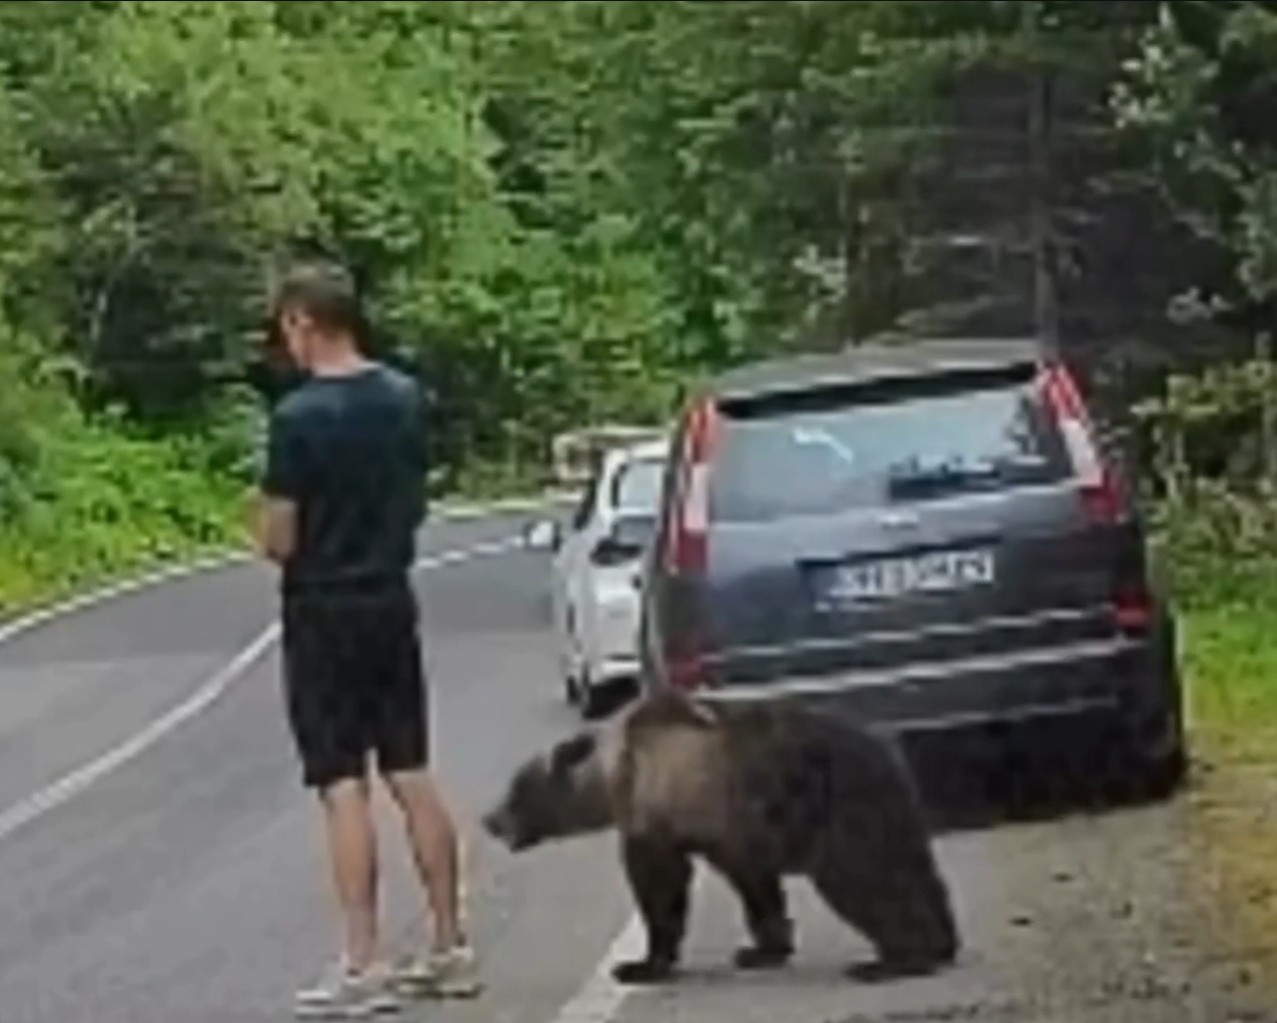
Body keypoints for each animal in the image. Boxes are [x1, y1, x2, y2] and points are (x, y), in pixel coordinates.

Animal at [481, 686, 960, 985]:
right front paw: (762, 949)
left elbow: (660, 885)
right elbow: (754, 883)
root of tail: (885, 748)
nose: (489, 819)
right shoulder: (731, 830)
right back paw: (940, 944)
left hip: (840, 807)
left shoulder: (658, 815)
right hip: (888, 808)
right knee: (911, 869)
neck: (615, 776)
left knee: (862, 879)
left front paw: (641, 964)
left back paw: (896, 960)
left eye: (516, 787)